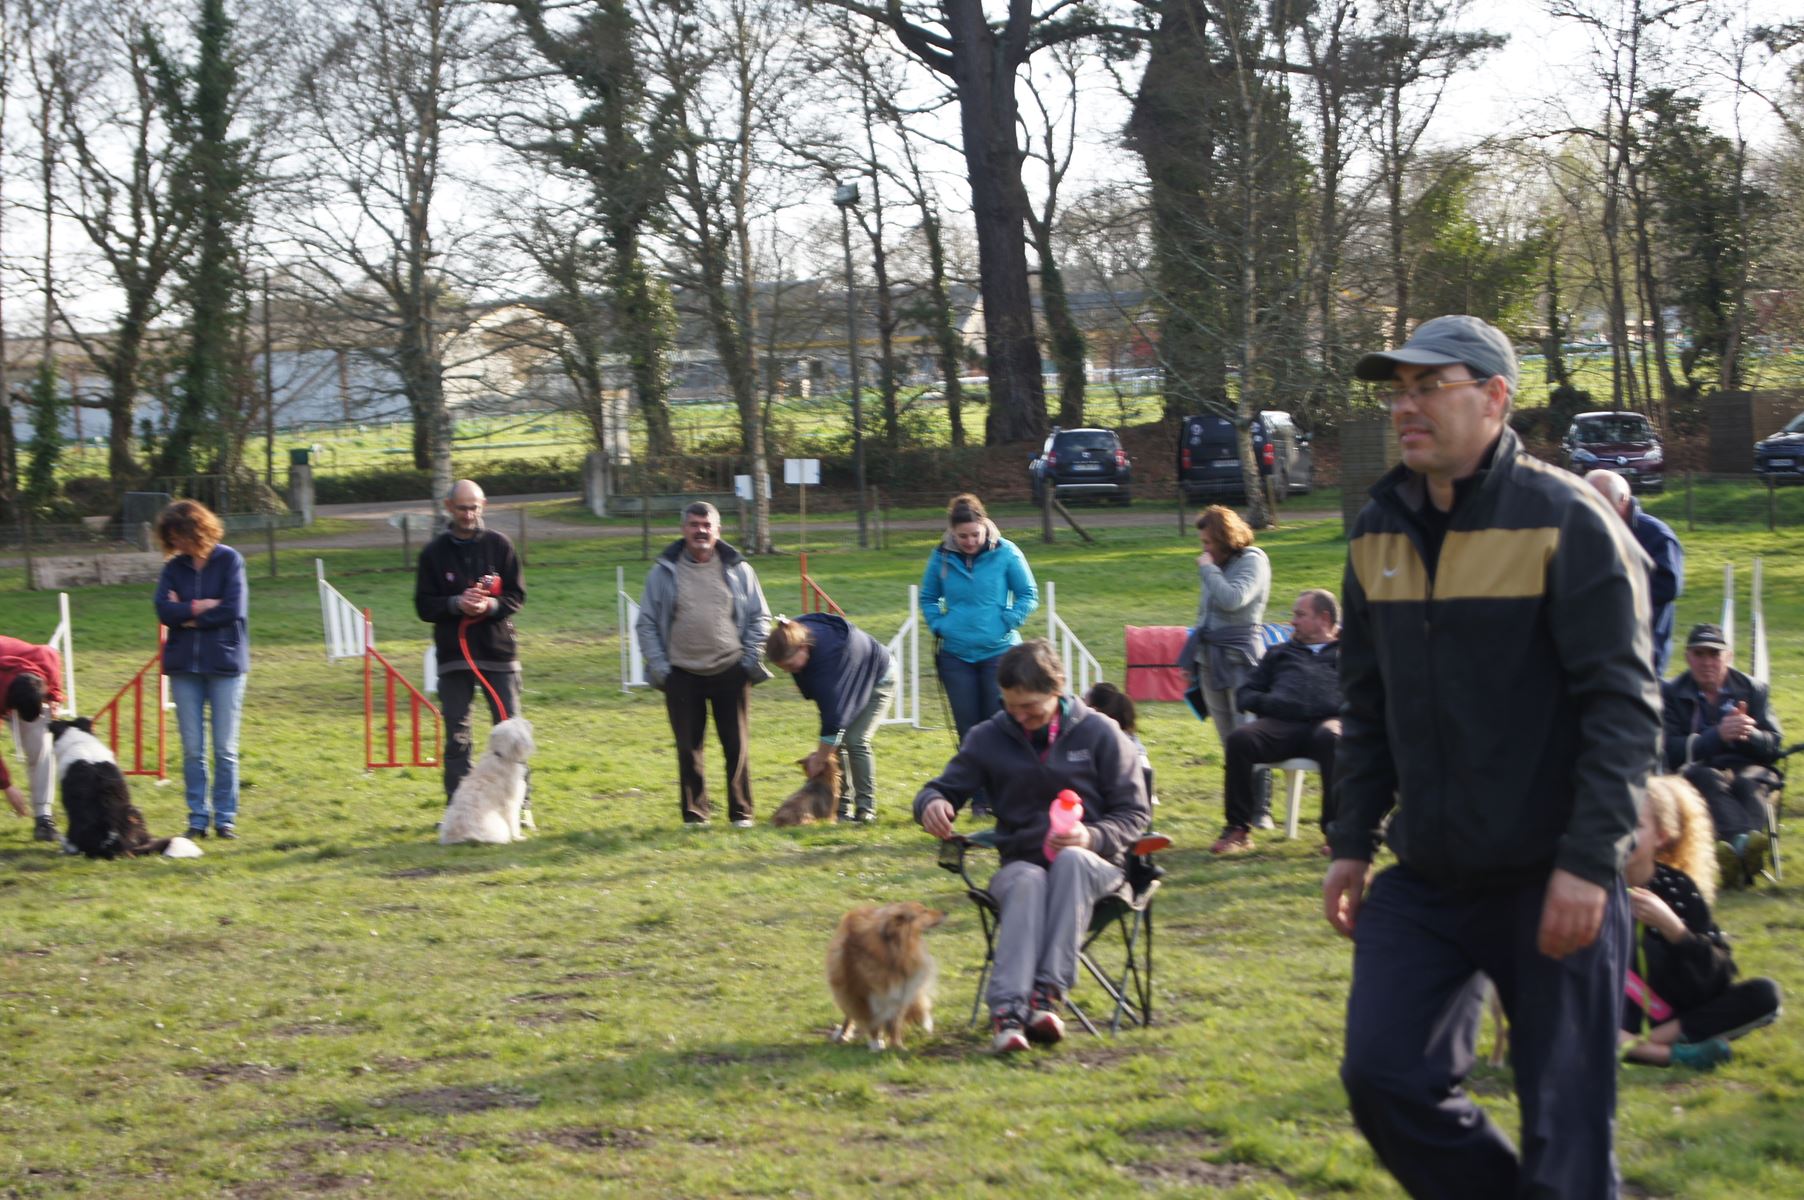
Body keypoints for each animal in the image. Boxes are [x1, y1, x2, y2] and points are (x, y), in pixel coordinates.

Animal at [438, 714, 533, 848]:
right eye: (517, 724)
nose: (527, 722)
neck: (501, 756)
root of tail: (461, 836)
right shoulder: (511, 804)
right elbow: (513, 822)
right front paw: (518, 837)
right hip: (498, 825)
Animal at [826, 898, 952, 1046]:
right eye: (923, 911)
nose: (946, 912)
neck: (895, 949)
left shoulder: (900, 993)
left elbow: (894, 1024)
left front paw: (897, 1045)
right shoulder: (865, 995)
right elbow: (872, 1022)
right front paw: (876, 1044)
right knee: (850, 1014)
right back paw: (844, 1034)